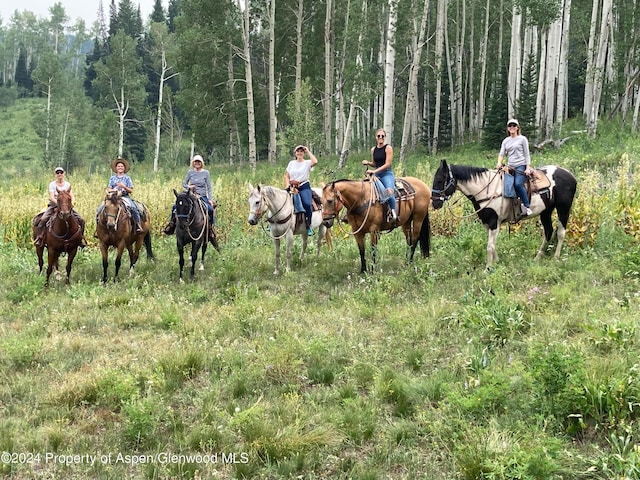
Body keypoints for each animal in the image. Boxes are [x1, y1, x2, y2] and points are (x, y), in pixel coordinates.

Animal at [432, 158, 576, 268]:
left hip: (563, 208)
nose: (434, 203)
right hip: (546, 211)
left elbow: (490, 246)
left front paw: (488, 268)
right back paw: (538, 257)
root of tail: (570, 175)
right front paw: (496, 262)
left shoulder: (493, 221)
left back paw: (556, 257)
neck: (486, 189)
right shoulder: (486, 222)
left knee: (561, 232)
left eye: (440, 180)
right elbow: (492, 245)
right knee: (548, 231)